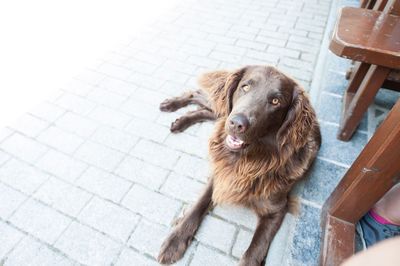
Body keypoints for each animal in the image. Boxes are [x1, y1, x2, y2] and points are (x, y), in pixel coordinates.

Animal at [158, 65, 320, 266]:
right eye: (245, 87)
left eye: (276, 101)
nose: (237, 123)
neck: (245, 161)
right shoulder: (219, 174)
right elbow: (198, 206)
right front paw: (175, 240)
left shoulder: (276, 210)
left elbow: (255, 250)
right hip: (223, 108)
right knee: (200, 96)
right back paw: (171, 105)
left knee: (207, 110)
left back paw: (180, 121)